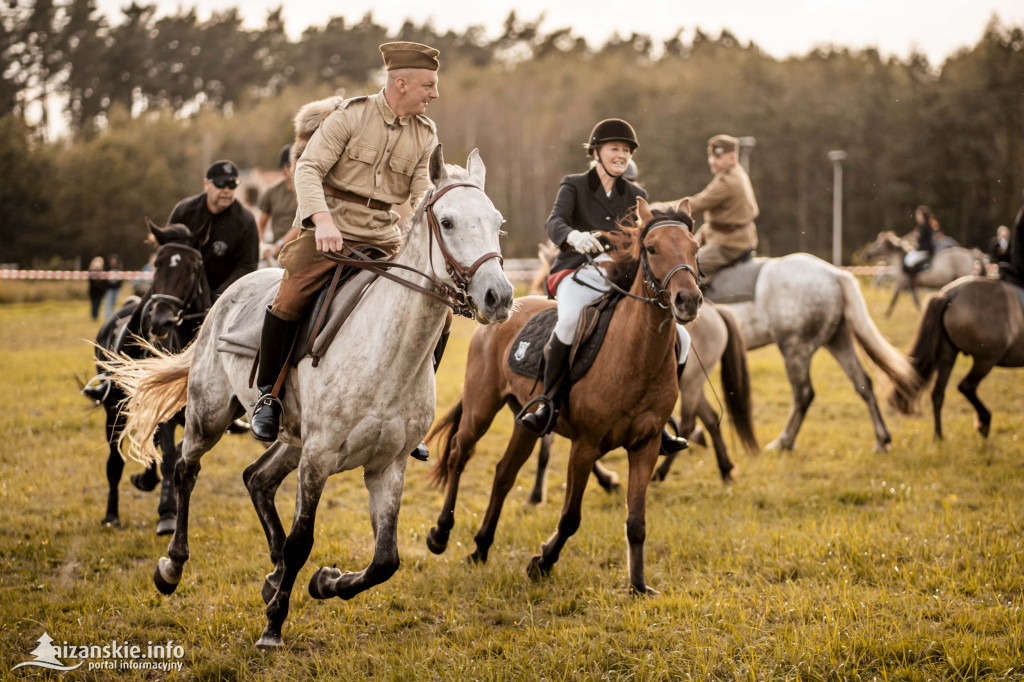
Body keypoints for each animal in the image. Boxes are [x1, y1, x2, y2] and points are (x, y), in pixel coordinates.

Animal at [84, 220, 210, 528]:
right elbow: (167, 458)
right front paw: (167, 513)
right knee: (115, 462)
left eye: (192, 267)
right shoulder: (162, 413)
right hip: (113, 410)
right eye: (157, 264)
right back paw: (112, 515)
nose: (160, 320)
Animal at [425, 193, 704, 593]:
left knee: (503, 474)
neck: (637, 353)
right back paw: (441, 534)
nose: (688, 301)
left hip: (524, 421)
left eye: (695, 248)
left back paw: (481, 546)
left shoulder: (646, 446)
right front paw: (542, 562)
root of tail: (503, 308)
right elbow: (571, 516)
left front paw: (638, 585)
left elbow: (636, 522)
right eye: (651, 248)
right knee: (459, 457)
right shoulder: (585, 446)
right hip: (481, 407)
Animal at [888, 274, 1024, 438]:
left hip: (947, 356)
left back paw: (939, 436)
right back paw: (984, 421)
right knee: (966, 386)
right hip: (985, 359)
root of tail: (952, 293)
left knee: (938, 393)